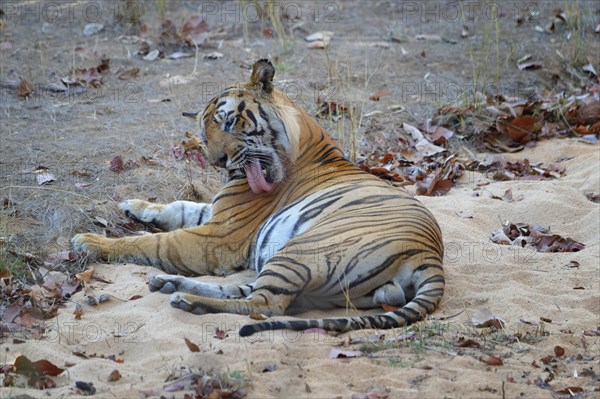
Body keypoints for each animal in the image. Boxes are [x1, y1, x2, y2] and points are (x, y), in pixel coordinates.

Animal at [71, 58, 446, 338]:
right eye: (203, 136)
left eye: (228, 122)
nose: (217, 162)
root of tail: (430, 255)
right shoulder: (218, 215)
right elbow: (181, 208)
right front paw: (133, 205)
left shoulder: (218, 236)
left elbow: (152, 243)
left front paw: (90, 241)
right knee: (249, 291)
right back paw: (168, 283)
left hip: (302, 250)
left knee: (262, 305)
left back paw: (184, 298)